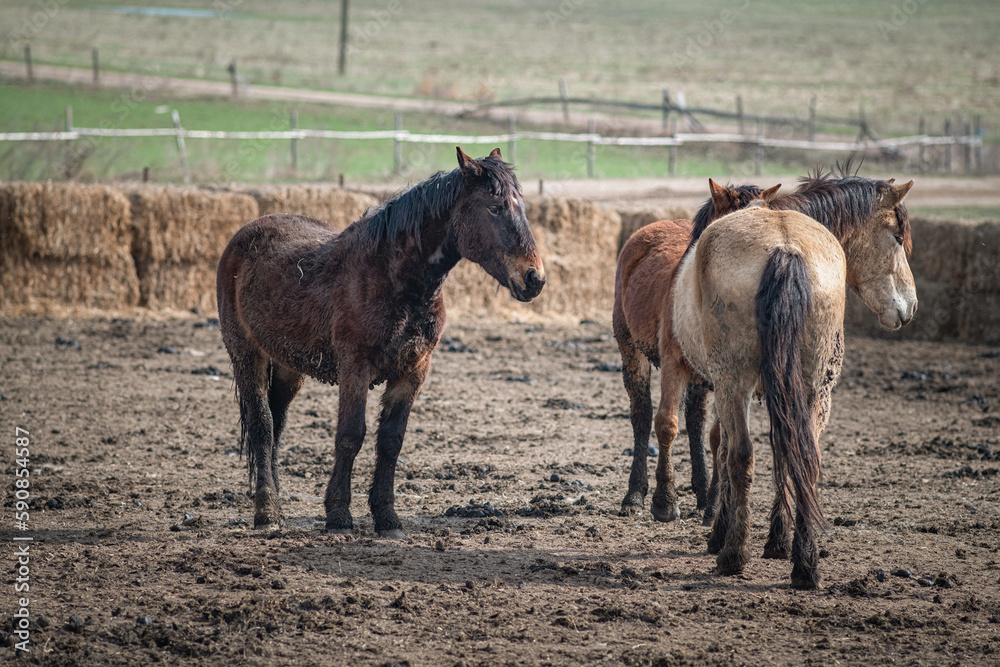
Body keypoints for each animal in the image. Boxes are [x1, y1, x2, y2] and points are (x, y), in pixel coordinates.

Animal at [217, 147, 545, 537]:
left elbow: (391, 441)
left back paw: (278, 505)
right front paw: (338, 515)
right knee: (263, 427)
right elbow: (350, 435)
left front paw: (387, 517)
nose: (534, 278)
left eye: (521, 206)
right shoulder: (355, 368)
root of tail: (244, 235)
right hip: (246, 353)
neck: (393, 278)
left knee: (277, 424)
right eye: (494, 207)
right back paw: (267, 512)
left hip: (287, 365)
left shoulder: (412, 372)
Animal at [614, 180, 779, 522]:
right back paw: (634, 495)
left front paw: (715, 505)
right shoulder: (672, 363)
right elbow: (666, 424)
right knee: (642, 416)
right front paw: (664, 502)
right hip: (631, 350)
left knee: (695, 421)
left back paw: (703, 493)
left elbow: (718, 435)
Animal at [673, 176, 916, 588]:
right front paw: (778, 541)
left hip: (734, 383)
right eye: (897, 237)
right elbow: (786, 455)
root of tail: (785, 249)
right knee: (807, 457)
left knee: (742, 455)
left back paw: (733, 555)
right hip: (811, 386)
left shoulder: (727, 389)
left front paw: (721, 533)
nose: (910, 307)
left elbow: (724, 449)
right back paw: (804, 564)